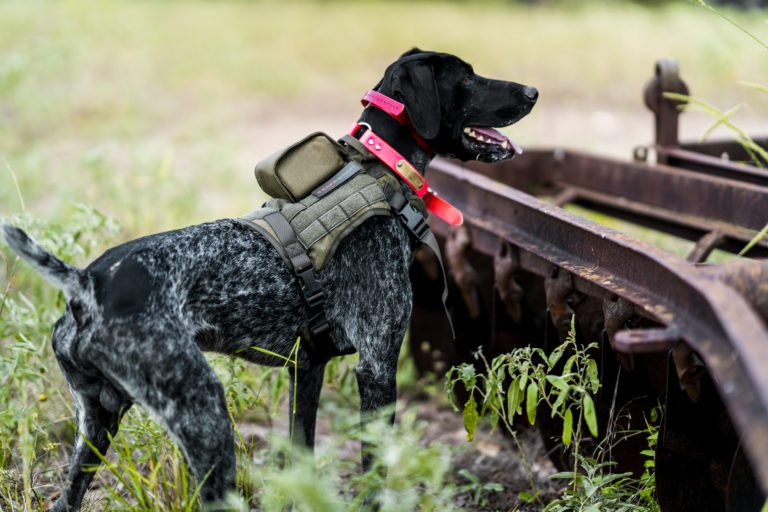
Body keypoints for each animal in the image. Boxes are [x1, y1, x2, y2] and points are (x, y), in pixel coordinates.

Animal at [3, 49, 536, 512]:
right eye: (467, 78)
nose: (532, 90)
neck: (381, 172)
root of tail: (85, 285)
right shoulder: (377, 367)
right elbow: (373, 474)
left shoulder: (308, 367)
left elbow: (302, 457)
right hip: (204, 415)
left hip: (98, 424)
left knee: (65, 500)